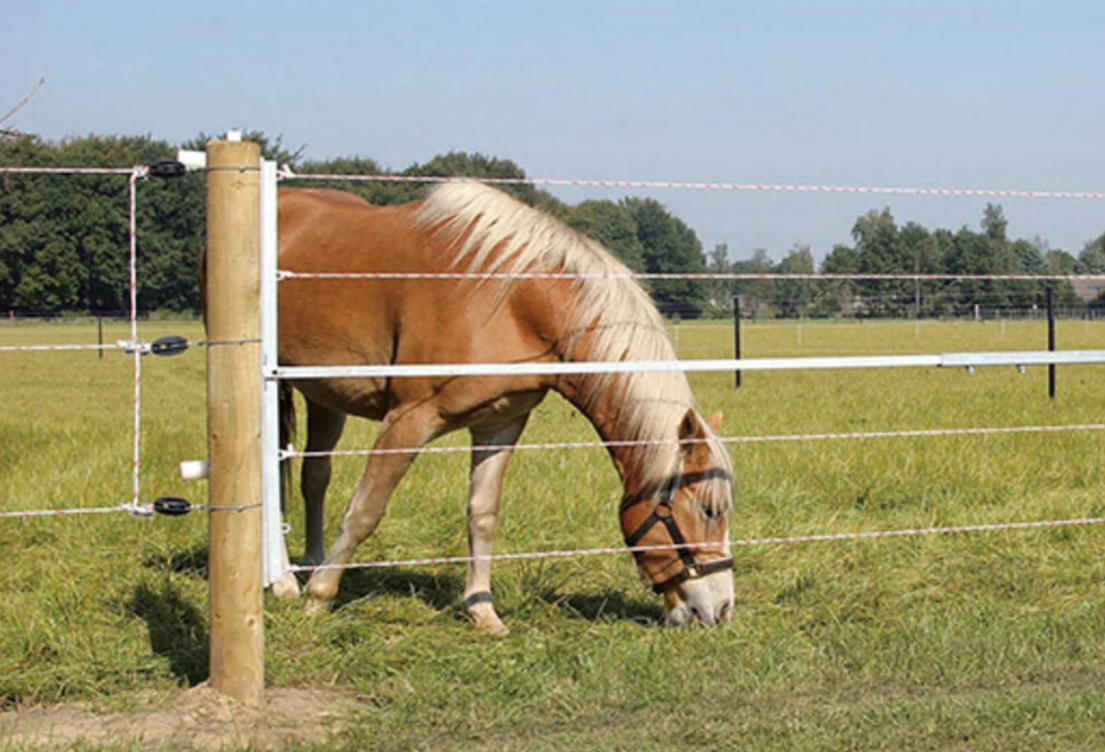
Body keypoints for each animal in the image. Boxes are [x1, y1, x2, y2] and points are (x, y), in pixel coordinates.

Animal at [270, 179, 733, 627]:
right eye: (709, 510)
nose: (721, 609)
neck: (511, 298)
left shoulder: (500, 423)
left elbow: (483, 515)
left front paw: (482, 611)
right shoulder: (408, 419)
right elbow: (366, 510)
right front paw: (319, 598)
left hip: (324, 394)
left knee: (314, 476)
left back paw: (310, 563)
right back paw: (286, 582)